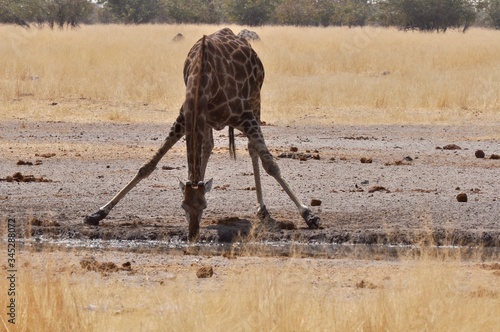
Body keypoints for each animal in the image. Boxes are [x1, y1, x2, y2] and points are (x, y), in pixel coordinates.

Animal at [84, 28, 320, 241]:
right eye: (183, 206)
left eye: (205, 206)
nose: (193, 234)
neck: (203, 81)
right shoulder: (185, 117)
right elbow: (147, 166)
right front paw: (97, 213)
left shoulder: (245, 116)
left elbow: (271, 165)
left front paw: (309, 215)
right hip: (207, 120)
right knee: (208, 146)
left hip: (256, 98)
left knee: (253, 150)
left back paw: (262, 208)